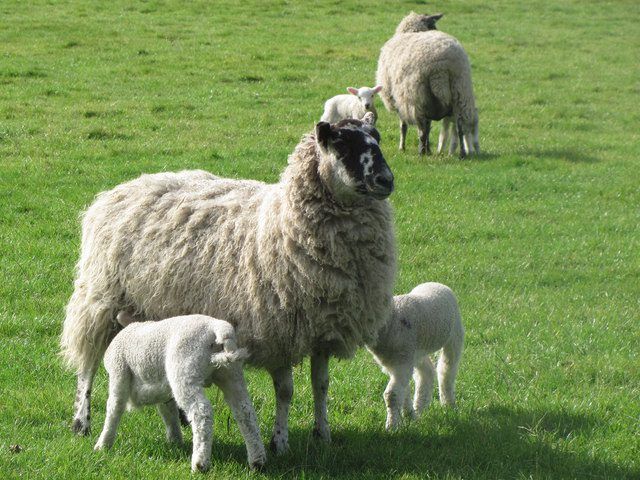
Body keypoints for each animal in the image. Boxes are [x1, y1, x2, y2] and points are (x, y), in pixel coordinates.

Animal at [60, 112, 397, 455]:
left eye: (377, 138)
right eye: (342, 145)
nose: (386, 180)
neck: (281, 221)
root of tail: (121, 189)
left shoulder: (323, 328)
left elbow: (321, 385)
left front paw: (323, 434)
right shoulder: (279, 330)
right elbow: (286, 391)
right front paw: (280, 441)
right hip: (101, 299)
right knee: (87, 365)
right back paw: (82, 422)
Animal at [94, 313, 266, 472]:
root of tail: (218, 328)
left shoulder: (119, 373)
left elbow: (114, 408)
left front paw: (103, 445)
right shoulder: (163, 390)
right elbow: (169, 412)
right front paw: (175, 440)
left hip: (185, 370)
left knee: (201, 412)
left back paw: (200, 464)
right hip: (231, 374)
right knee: (245, 412)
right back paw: (257, 461)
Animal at [366, 282, 464, 430]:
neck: (393, 319)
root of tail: (436, 283)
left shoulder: (402, 360)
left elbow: (391, 395)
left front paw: (391, 426)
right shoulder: (395, 362)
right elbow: (402, 390)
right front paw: (408, 415)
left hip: (454, 336)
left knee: (446, 370)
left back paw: (448, 404)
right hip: (418, 352)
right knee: (426, 372)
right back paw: (420, 406)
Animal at [376, 12, 480, 157]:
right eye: (433, 25)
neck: (412, 30)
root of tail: (441, 67)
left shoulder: (399, 100)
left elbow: (404, 126)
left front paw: (402, 147)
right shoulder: (431, 102)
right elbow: (429, 126)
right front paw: (429, 149)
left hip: (417, 96)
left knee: (421, 130)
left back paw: (421, 152)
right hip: (460, 90)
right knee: (459, 126)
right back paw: (462, 153)